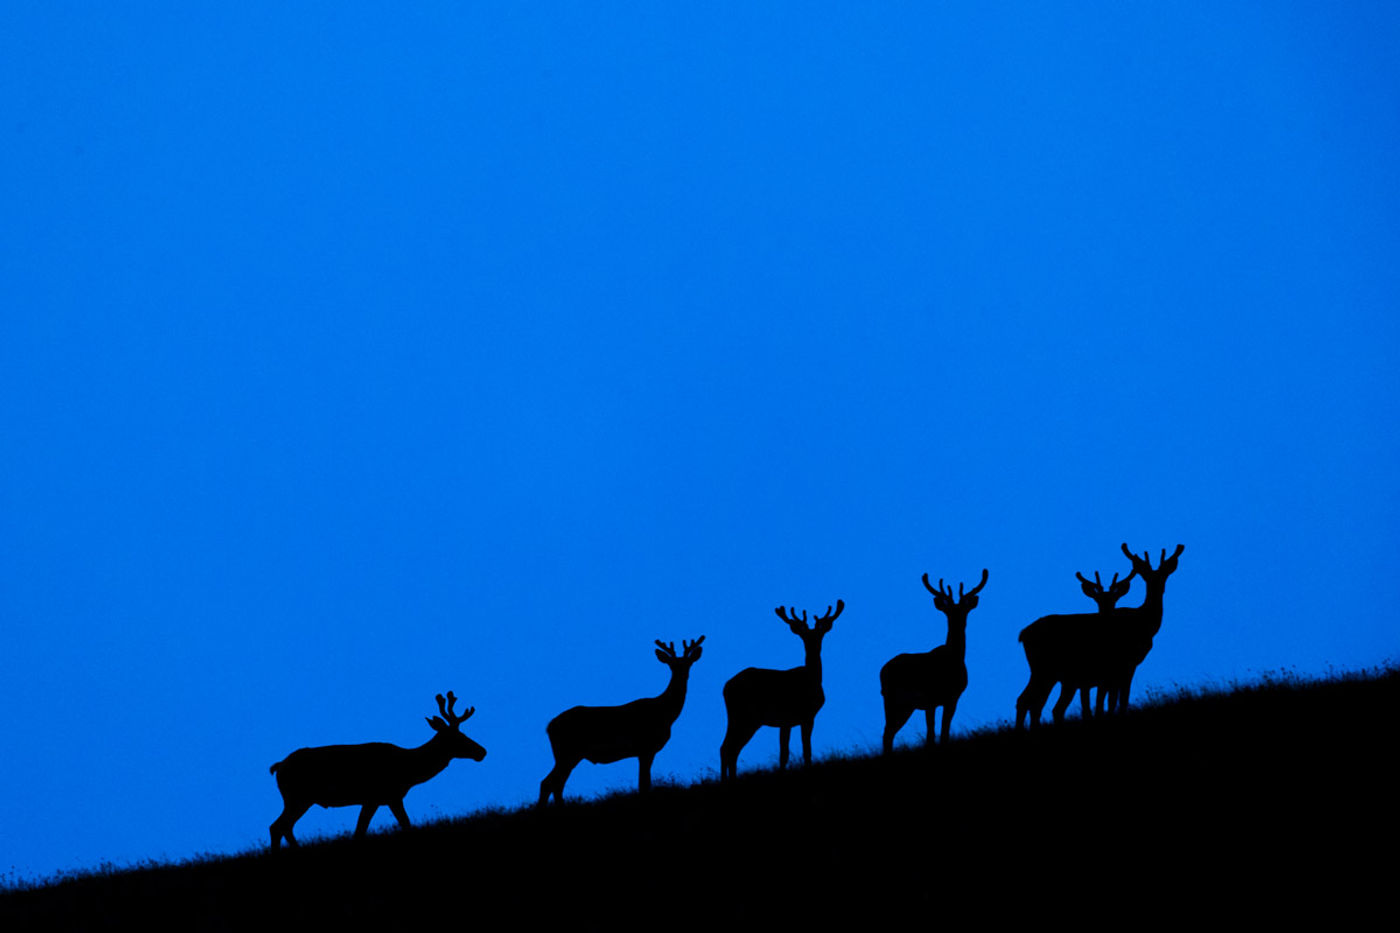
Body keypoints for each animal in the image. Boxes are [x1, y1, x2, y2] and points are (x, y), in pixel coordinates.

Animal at [267, 689, 487, 851]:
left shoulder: (379, 799)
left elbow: (362, 830)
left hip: (299, 799)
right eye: (457, 737)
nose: (482, 751)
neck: (409, 770)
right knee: (277, 826)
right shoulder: (383, 796)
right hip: (297, 797)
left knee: (283, 826)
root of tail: (278, 767)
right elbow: (400, 825)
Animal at [537, 636, 705, 801]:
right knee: (548, 782)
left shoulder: (645, 750)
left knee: (556, 784)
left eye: (689, 663)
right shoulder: (646, 747)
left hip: (568, 754)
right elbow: (644, 784)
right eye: (672, 665)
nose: (682, 675)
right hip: (568, 752)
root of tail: (549, 726)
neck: (666, 714)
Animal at [722, 596, 840, 778]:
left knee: (727, 747)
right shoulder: (806, 715)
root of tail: (725, 687)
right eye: (804, 636)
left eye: (820, 635)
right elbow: (805, 749)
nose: (813, 646)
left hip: (737, 716)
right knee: (730, 747)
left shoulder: (787, 721)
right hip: (747, 717)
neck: (812, 679)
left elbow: (784, 753)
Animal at [879, 565, 991, 750]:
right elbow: (931, 734)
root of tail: (882, 671)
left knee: (888, 733)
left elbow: (944, 731)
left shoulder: (952, 698)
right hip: (895, 700)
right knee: (887, 733)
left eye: (964, 610)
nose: (958, 621)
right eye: (948, 611)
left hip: (901, 704)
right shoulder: (930, 698)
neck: (952, 660)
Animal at [1013, 546, 1187, 728]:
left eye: (1165, 573)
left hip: (1048, 672)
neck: (1145, 624)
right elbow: (1119, 699)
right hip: (1045, 669)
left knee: (1034, 702)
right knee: (1029, 701)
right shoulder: (1125, 665)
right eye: (1145, 575)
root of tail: (1023, 634)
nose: (1158, 586)